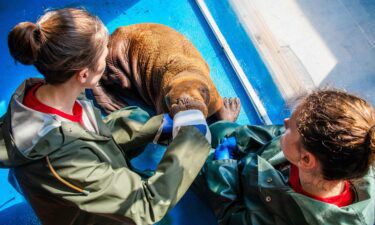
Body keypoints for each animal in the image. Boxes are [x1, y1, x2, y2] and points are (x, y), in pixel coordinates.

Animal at [93, 23, 241, 121]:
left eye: (203, 91)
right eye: (168, 98)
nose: (184, 100)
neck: (184, 69)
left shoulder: (214, 96)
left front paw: (230, 106)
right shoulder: (161, 103)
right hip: (112, 58)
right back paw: (114, 103)